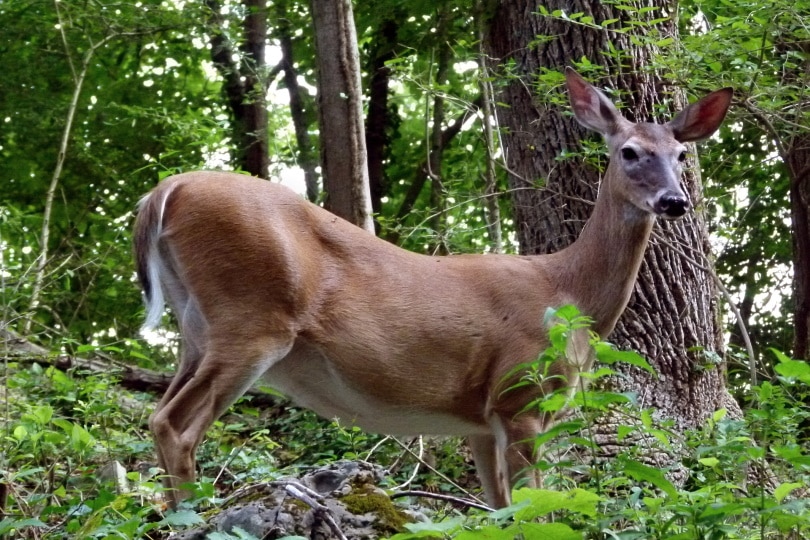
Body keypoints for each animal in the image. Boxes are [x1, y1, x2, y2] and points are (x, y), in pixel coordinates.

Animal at [134, 68, 732, 510]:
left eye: (682, 155)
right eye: (628, 152)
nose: (675, 201)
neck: (568, 293)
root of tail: (167, 189)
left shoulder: (480, 420)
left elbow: (499, 510)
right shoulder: (520, 394)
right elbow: (534, 508)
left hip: (198, 330)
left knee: (162, 412)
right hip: (252, 319)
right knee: (174, 425)